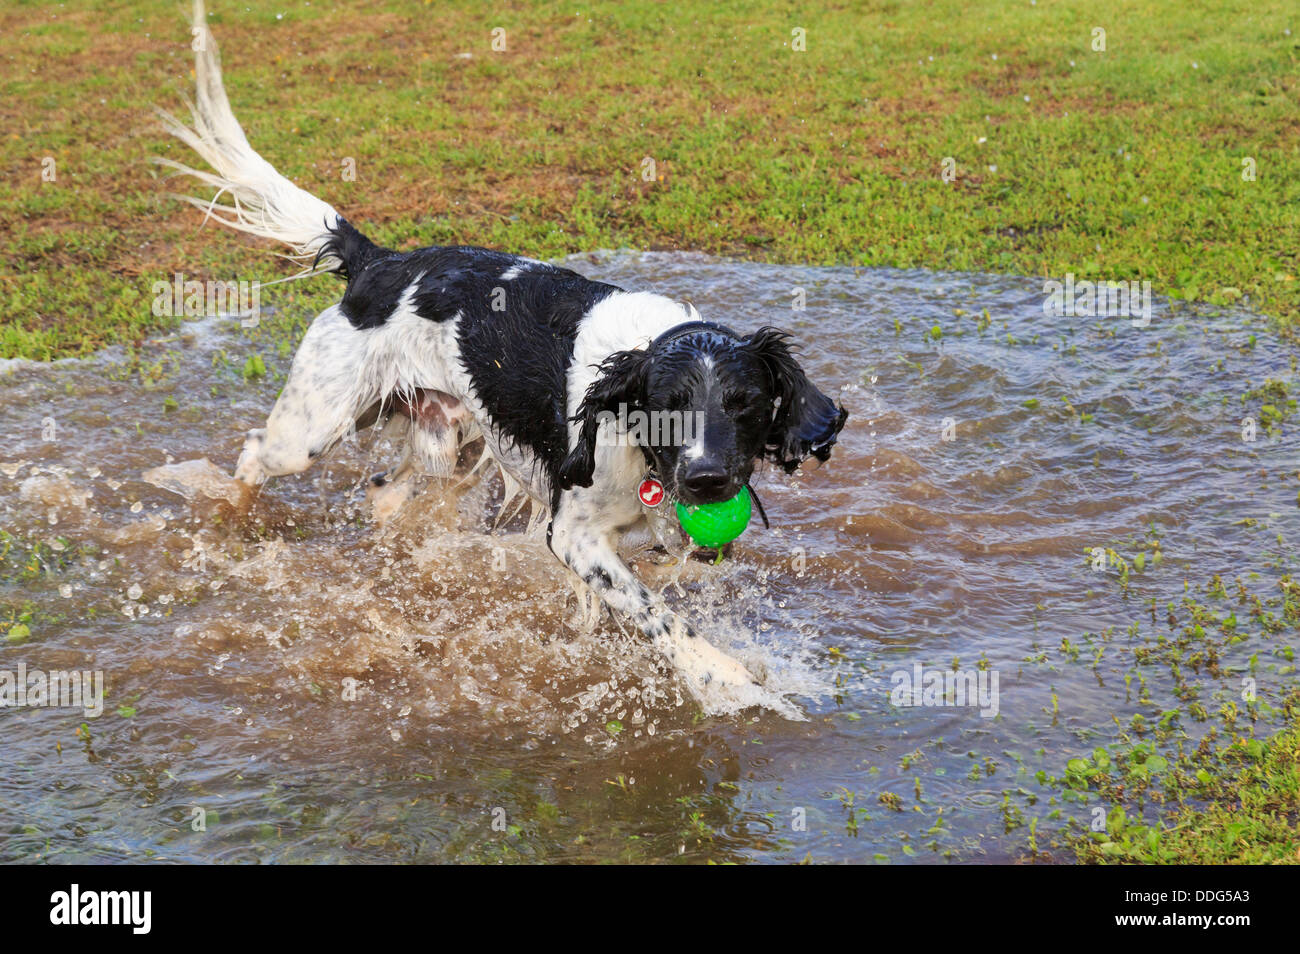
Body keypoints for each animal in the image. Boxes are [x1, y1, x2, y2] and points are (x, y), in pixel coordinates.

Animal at [157, 3, 847, 707]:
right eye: (665, 405)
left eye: (745, 404)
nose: (707, 480)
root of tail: (378, 262)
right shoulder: (573, 535)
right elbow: (659, 614)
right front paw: (724, 679)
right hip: (316, 426)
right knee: (253, 454)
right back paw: (229, 524)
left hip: (450, 439)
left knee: (386, 494)